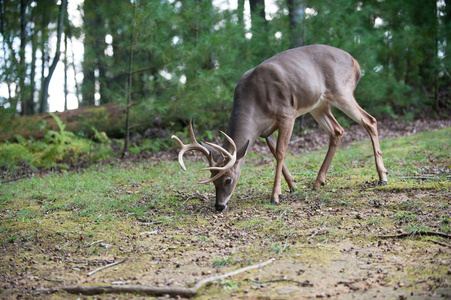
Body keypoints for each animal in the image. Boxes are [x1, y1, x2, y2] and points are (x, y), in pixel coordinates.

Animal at [173, 45, 388, 212]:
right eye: (212, 179)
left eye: (228, 179)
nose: (219, 206)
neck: (255, 103)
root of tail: (356, 63)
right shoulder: (265, 130)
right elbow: (276, 153)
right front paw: (292, 186)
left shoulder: (287, 114)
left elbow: (282, 152)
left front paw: (275, 196)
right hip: (319, 105)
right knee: (337, 131)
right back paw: (318, 182)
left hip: (341, 91)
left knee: (370, 120)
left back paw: (382, 177)